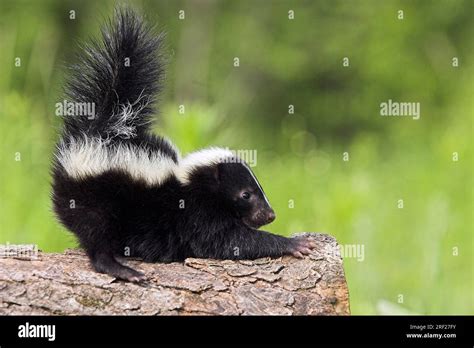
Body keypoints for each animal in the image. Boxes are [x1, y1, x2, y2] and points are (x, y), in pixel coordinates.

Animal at [51, 7, 314, 282]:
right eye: (245, 194)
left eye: (259, 188)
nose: (270, 215)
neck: (188, 183)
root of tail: (101, 131)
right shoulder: (196, 215)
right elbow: (227, 240)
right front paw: (293, 244)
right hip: (94, 201)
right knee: (96, 238)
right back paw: (123, 269)